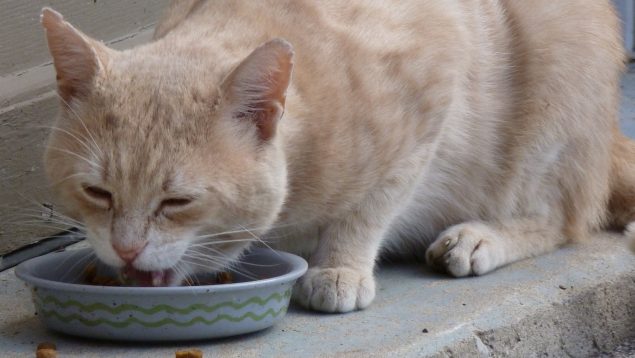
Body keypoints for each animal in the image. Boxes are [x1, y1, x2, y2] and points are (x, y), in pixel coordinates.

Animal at [41, 0, 632, 312]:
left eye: (177, 202)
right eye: (97, 193)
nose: (126, 250)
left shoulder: (432, 97)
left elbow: (369, 208)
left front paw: (339, 266)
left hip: (553, 99)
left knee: (562, 218)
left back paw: (480, 236)